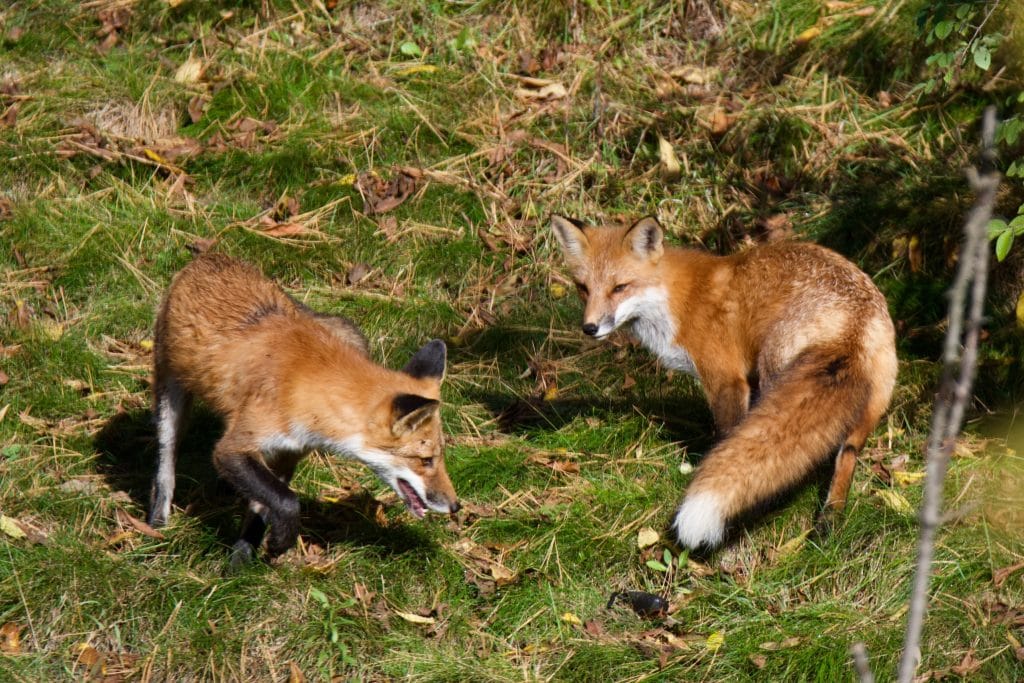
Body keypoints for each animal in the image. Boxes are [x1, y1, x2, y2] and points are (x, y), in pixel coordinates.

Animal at [148, 253, 460, 565]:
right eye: (426, 460)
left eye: (440, 457)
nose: (456, 506)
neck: (306, 391)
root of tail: (211, 256)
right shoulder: (233, 448)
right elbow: (287, 500)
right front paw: (275, 544)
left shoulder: (288, 453)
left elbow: (266, 505)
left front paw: (247, 555)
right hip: (169, 399)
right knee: (165, 466)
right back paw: (156, 524)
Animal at [550, 215, 897, 550]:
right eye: (583, 287)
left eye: (620, 287)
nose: (589, 328)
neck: (675, 302)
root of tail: (850, 324)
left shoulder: (726, 380)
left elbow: (728, 437)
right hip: (868, 406)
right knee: (846, 454)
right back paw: (829, 520)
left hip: (773, 369)